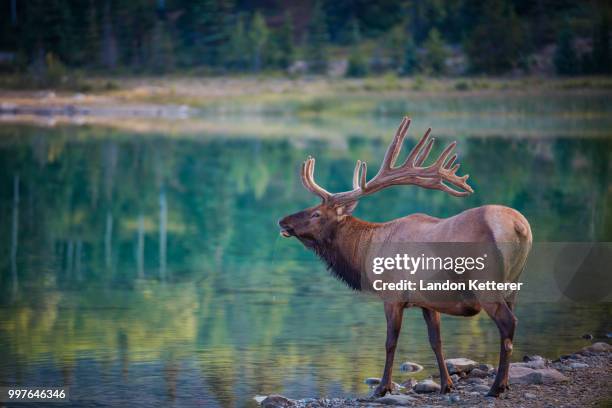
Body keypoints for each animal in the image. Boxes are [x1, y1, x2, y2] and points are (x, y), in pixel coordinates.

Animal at [278, 116, 532, 396]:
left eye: (316, 213)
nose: (283, 221)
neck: (366, 251)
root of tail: (520, 227)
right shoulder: (427, 301)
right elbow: (436, 341)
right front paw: (446, 385)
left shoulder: (392, 295)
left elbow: (390, 342)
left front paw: (382, 388)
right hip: (514, 284)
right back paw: (504, 383)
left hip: (486, 282)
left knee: (508, 323)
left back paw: (496, 387)